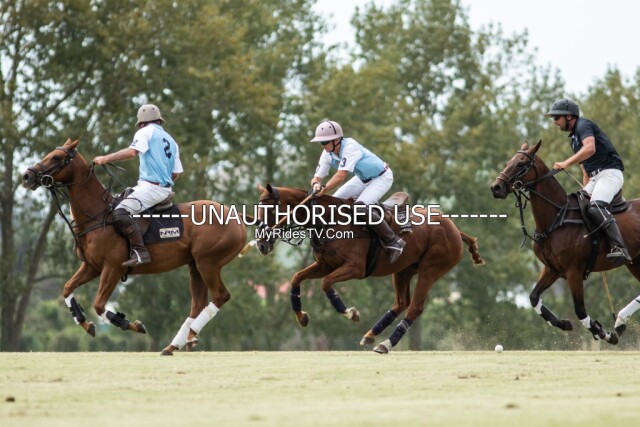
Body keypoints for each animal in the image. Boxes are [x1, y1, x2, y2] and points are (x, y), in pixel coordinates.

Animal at [22, 139, 247, 355]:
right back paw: (174, 345)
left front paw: (132, 324)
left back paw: (190, 335)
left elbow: (99, 305)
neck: (97, 216)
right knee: (198, 304)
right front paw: (85, 323)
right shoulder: (92, 267)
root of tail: (236, 216)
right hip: (195, 265)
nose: (27, 176)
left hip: (208, 262)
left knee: (221, 296)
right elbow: (67, 288)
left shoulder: (113, 268)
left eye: (56, 157)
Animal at [254, 184, 485, 353]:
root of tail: (455, 229)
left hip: (431, 270)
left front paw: (350, 313)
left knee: (414, 307)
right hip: (403, 269)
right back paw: (370, 336)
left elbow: (326, 283)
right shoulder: (324, 264)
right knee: (400, 303)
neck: (329, 220)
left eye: (271, 209)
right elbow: (296, 278)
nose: (261, 244)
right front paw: (302, 317)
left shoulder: (355, 268)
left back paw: (385, 344)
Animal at [490, 140, 640, 344]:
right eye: (508, 162)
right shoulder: (552, 269)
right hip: (634, 261)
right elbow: (533, 297)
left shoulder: (573, 271)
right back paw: (620, 322)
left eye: (521, 164)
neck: (556, 218)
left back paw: (618, 322)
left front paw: (604, 333)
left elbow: (580, 310)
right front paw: (563, 323)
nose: (495, 187)